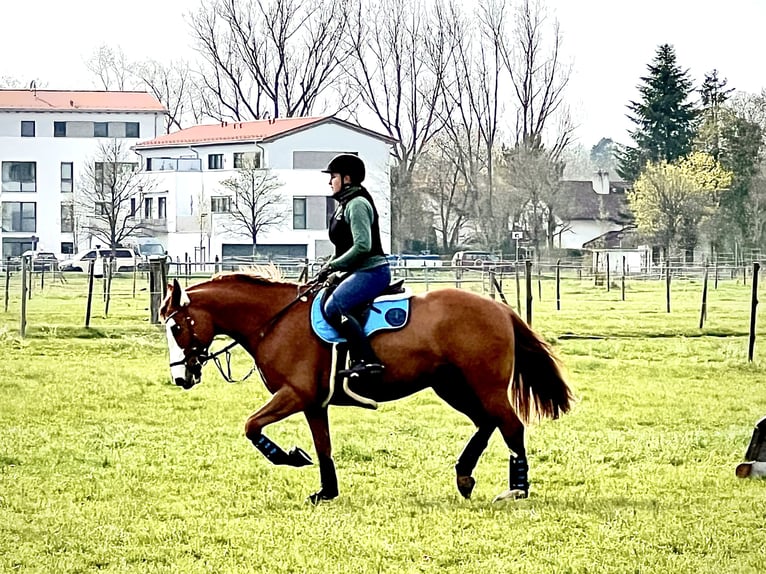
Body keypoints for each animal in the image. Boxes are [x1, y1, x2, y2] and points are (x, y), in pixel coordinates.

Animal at [160, 272, 568, 506]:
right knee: (487, 423)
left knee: (510, 425)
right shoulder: (314, 403)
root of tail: (499, 309)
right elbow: (323, 448)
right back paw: (464, 475)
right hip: (451, 386)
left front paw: (289, 457)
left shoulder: (295, 394)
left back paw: (517, 488)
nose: (181, 377)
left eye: (176, 327)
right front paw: (326, 490)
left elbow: (251, 426)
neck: (274, 320)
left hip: (485, 385)